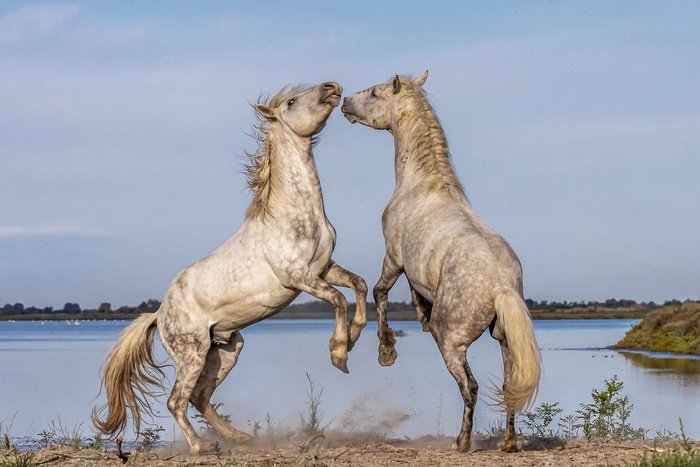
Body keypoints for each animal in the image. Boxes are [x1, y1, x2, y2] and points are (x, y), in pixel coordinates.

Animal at [92, 81, 368, 455]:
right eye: (292, 101)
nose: (333, 87)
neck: (292, 213)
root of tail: (159, 315)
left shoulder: (324, 268)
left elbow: (359, 285)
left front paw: (353, 337)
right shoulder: (299, 276)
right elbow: (339, 300)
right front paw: (339, 353)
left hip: (226, 350)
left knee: (199, 397)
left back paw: (238, 437)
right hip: (192, 354)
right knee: (177, 401)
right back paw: (201, 447)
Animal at [341, 71, 541, 453]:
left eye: (374, 93)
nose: (344, 102)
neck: (422, 183)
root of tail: (499, 285)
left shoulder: (394, 257)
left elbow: (379, 292)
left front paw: (386, 351)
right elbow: (412, 292)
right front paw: (420, 313)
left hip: (450, 342)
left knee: (470, 387)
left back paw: (461, 442)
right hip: (506, 341)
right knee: (508, 387)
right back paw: (508, 444)